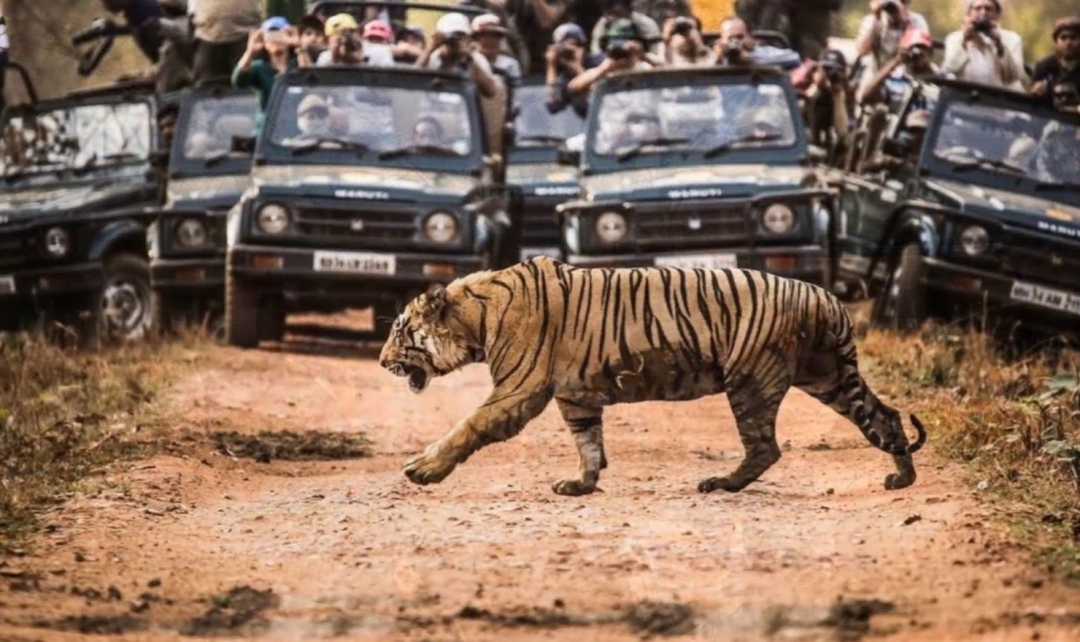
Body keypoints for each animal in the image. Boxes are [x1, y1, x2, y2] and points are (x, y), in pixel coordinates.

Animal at [379, 256, 926, 497]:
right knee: (886, 416)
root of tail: (828, 298)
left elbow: (466, 427)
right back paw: (901, 477)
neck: (475, 316)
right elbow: (588, 442)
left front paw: (422, 469)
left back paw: (720, 484)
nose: (382, 362)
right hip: (827, 376)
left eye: (400, 330)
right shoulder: (576, 397)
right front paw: (582, 483)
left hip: (752, 380)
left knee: (765, 447)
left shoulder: (518, 390)